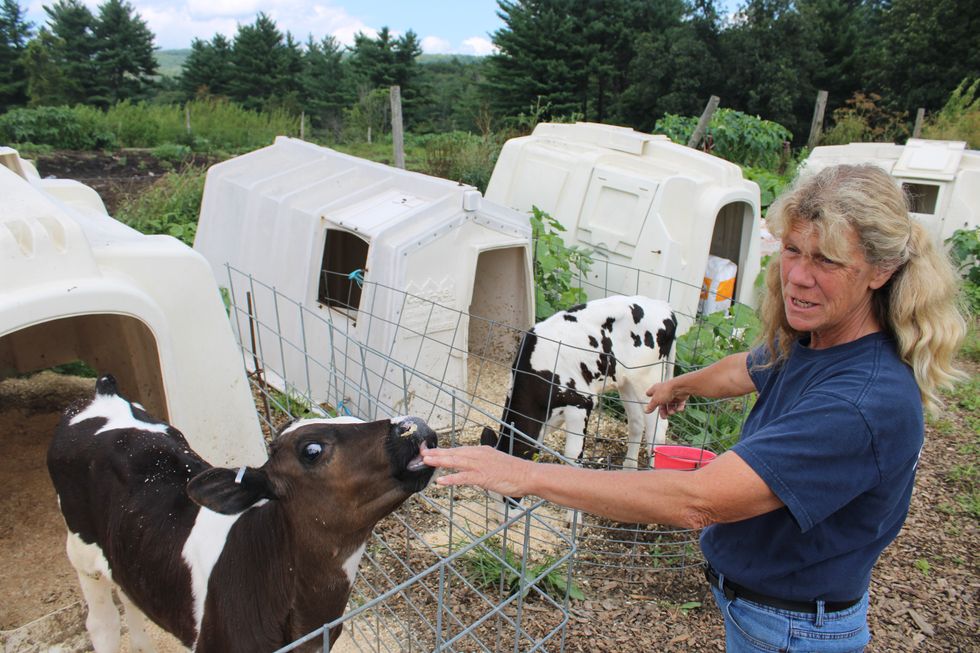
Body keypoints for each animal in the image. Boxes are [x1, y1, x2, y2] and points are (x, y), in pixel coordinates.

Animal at [480, 294, 676, 468]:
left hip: (649, 379)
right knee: (636, 422)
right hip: (626, 381)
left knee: (656, 431)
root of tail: (665, 307)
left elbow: (572, 457)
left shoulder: (581, 404)